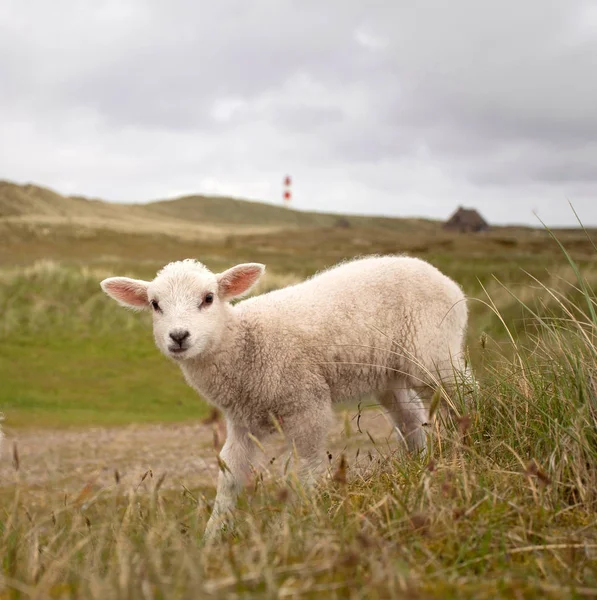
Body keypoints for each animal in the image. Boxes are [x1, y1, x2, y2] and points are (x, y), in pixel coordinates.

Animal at [100, 254, 468, 540]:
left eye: (208, 298)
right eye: (155, 304)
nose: (178, 336)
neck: (243, 343)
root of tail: (447, 281)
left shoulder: (306, 403)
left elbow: (306, 469)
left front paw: (295, 524)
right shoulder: (242, 420)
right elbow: (229, 475)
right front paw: (212, 536)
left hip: (433, 350)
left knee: (463, 395)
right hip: (390, 373)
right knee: (411, 418)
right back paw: (421, 469)